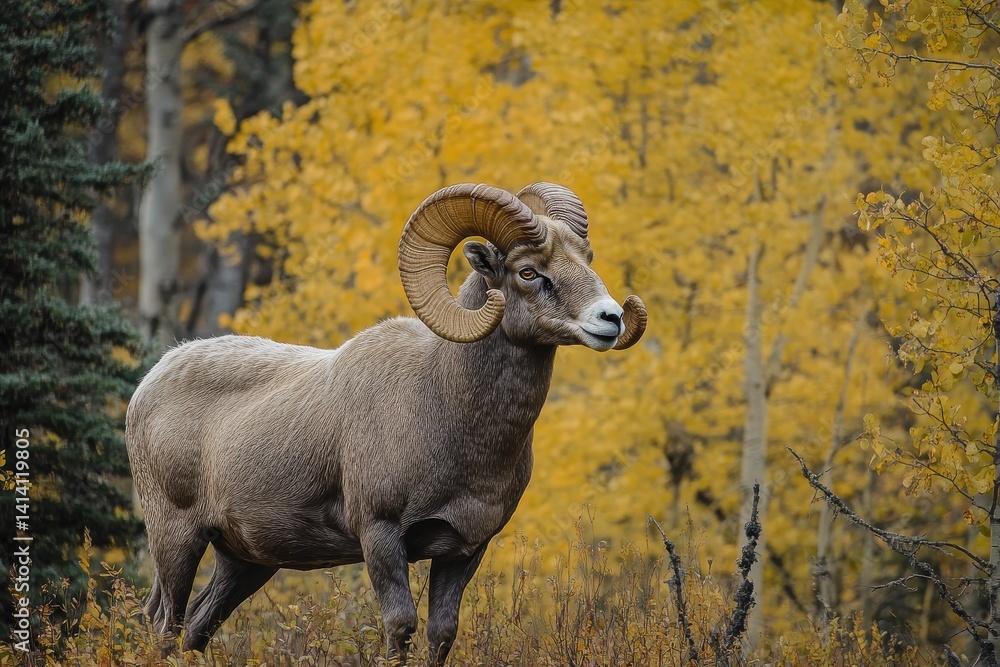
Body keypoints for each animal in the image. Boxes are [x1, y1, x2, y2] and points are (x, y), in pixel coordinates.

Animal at [125, 182, 647, 665]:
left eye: (586, 259)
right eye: (528, 271)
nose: (611, 319)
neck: (444, 408)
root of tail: (149, 384)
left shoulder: (464, 549)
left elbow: (441, 632)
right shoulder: (380, 535)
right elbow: (400, 626)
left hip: (245, 563)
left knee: (195, 627)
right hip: (177, 539)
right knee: (165, 624)